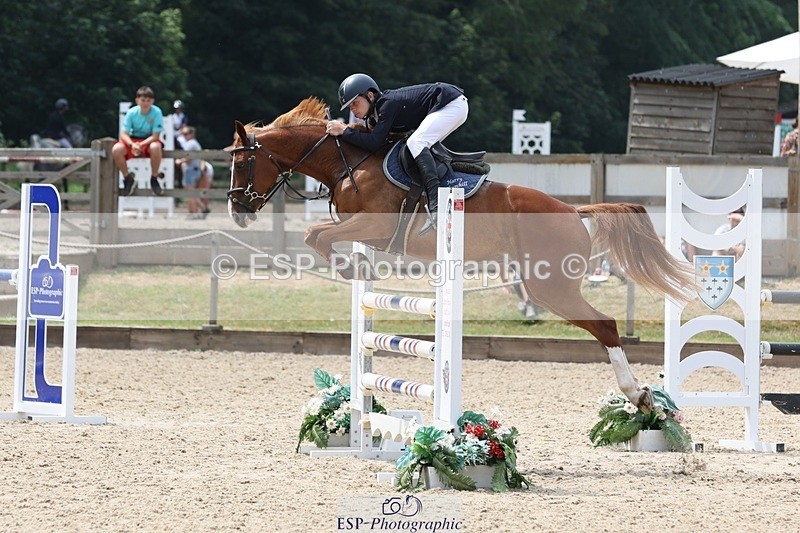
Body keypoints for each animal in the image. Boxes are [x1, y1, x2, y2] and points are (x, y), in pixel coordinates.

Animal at [226, 97, 694, 412]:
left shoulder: (375, 227)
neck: (348, 162)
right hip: (546, 284)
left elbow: (314, 235)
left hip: (551, 286)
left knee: (605, 325)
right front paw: (355, 267)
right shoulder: (363, 228)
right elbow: (319, 236)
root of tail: (574, 212)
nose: (237, 210)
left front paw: (349, 267)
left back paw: (639, 395)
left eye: (242, 163)